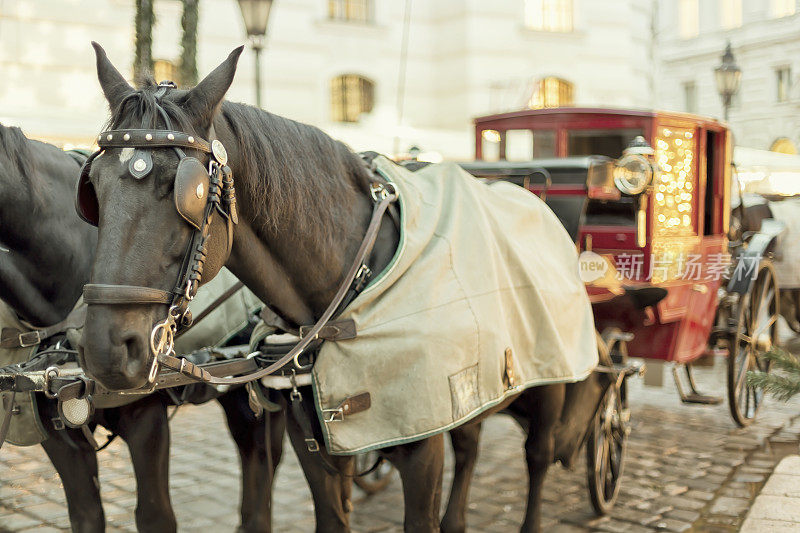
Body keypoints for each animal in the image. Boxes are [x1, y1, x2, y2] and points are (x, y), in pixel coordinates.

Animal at [79, 45, 608, 532]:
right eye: (93, 189)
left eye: (186, 191)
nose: (106, 349)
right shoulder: (316, 445)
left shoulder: (423, 443)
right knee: (472, 445)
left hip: (548, 381)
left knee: (538, 456)